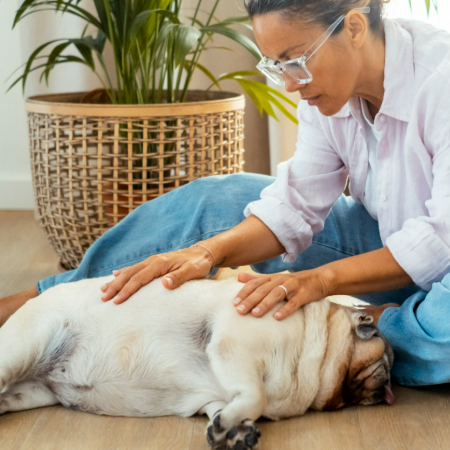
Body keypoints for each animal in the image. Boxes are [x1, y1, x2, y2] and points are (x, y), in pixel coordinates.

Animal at [0, 276, 394, 448]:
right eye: (388, 363)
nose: (392, 388)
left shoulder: (217, 395)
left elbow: (229, 406)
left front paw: (233, 430)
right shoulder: (233, 347)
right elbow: (255, 397)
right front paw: (235, 426)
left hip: (30, 393)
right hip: (24, 346)